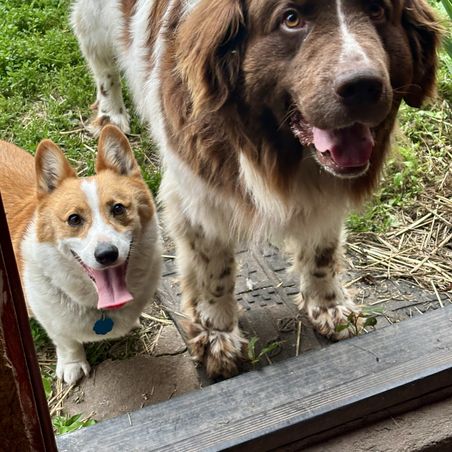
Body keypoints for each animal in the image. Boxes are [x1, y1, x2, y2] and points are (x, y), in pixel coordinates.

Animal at [0, 125, 162, 384]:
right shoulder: (52, 322)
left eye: (118, 208)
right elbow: (66, 342)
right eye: (74, 219)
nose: (106, 254)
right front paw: (72, 364)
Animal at [71, 0, 440, 378]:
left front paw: (330, 308)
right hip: (93, 21)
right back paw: (112, 114)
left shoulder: (325, 199)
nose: (363, 87)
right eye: (291, 18)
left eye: (378, 11)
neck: (269, 145)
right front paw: (217, 337)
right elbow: (213, 274)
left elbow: (322, 254)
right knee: (100, 61)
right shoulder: (198, 200)